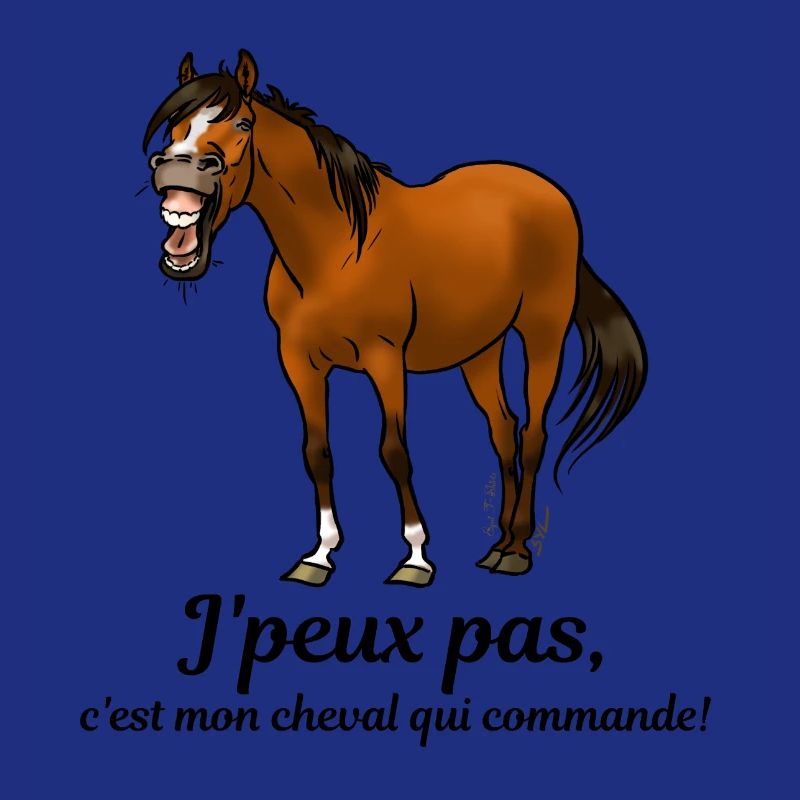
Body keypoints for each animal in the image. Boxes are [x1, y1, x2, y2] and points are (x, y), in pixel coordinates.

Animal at [144, 49, 647, 588]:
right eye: (175, 125)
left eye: (241, 122)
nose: (177, 167)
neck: (336, 251)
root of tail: (550, 193)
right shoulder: (300, 363)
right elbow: (317, 453)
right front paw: (319, 556)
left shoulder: (385, 359)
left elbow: (394, 452)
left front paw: (416, 558)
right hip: (481, 350)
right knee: (504, 429)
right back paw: (498, 544)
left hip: (542, 333)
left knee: (533, 433)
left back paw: (517, 551)